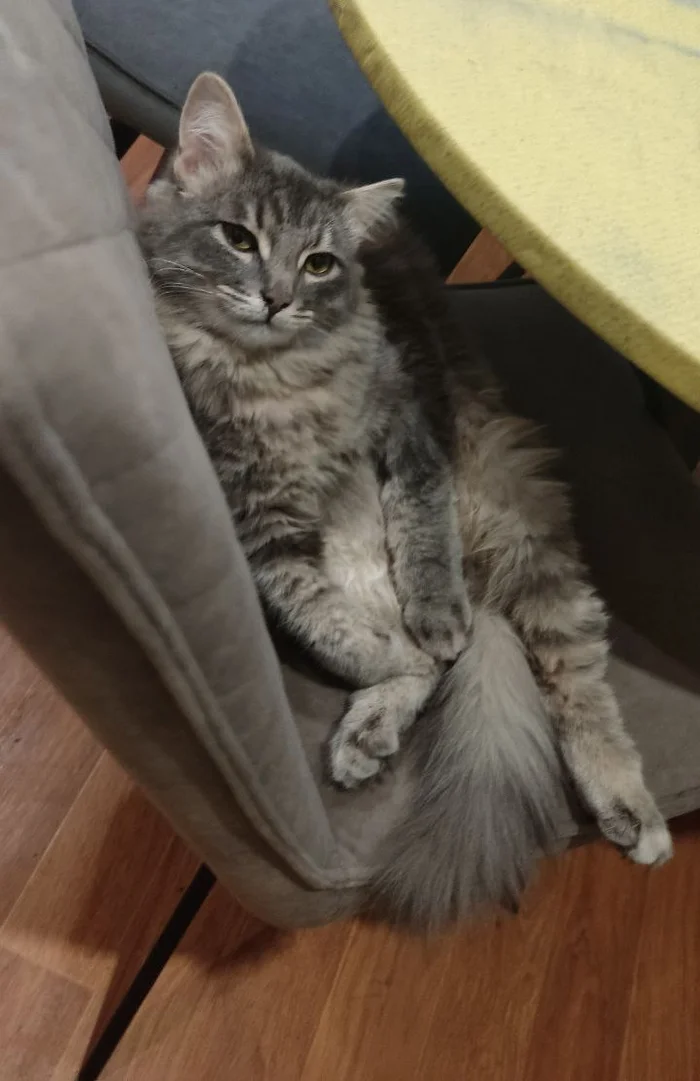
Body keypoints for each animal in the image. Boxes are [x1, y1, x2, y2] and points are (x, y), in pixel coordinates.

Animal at [138, 69, 674, 929]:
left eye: (320, 262)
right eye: (239, 238)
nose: (278, 297)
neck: (276, 379)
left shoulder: (411, 426)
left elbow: (424, 534)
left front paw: (435, 620)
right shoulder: (263, 526)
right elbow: (333, 627)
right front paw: (400, 661)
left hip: (516, 524)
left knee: (580, 683)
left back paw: (630, 808)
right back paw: (371, 728)